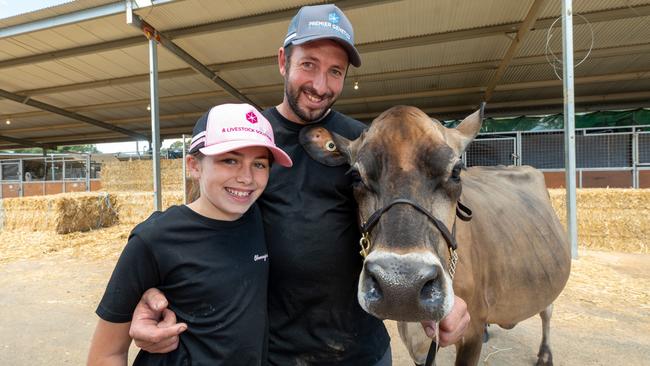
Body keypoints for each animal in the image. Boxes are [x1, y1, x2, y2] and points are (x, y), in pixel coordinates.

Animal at [298, 106, 568, 366]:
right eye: (356, 176)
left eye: (456, 171)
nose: (401, 287)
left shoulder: (470, 330)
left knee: (548, 309)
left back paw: (545, 355)